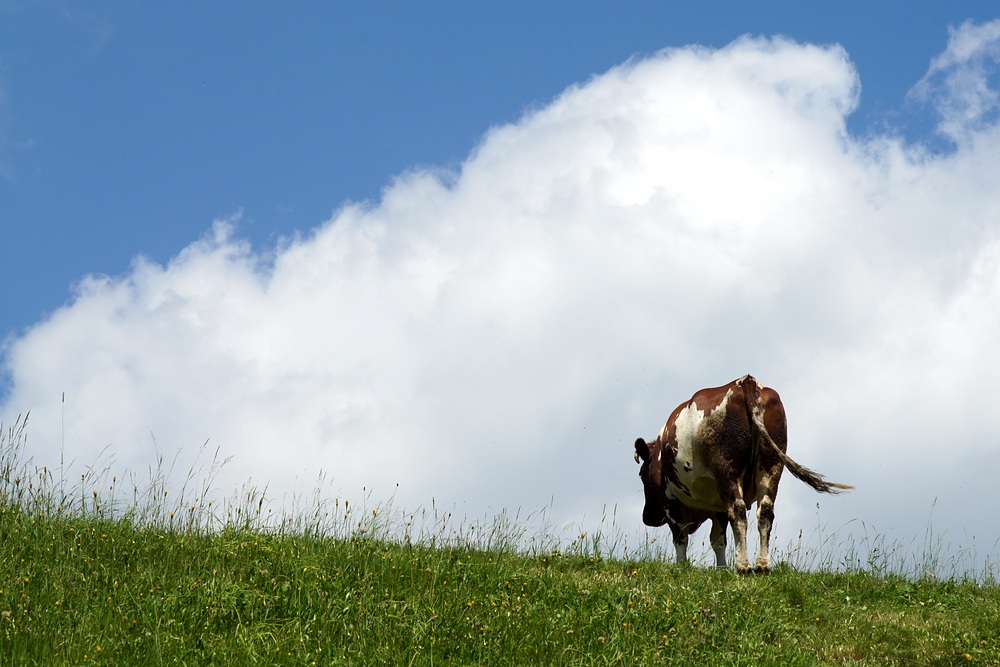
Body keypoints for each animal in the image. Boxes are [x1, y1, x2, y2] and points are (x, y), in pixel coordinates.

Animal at [632, 376, 852, 576]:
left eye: (642, 475)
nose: (647, 517)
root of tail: (746, 381)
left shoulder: (669, 499)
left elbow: (681, 537)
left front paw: (681, 567)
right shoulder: (717, 505)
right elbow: (718, 540)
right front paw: (722, 569)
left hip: (727, 470)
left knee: (737, 511)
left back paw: (743, 566)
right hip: (771, 464)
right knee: (765, 510)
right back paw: (762, 565)